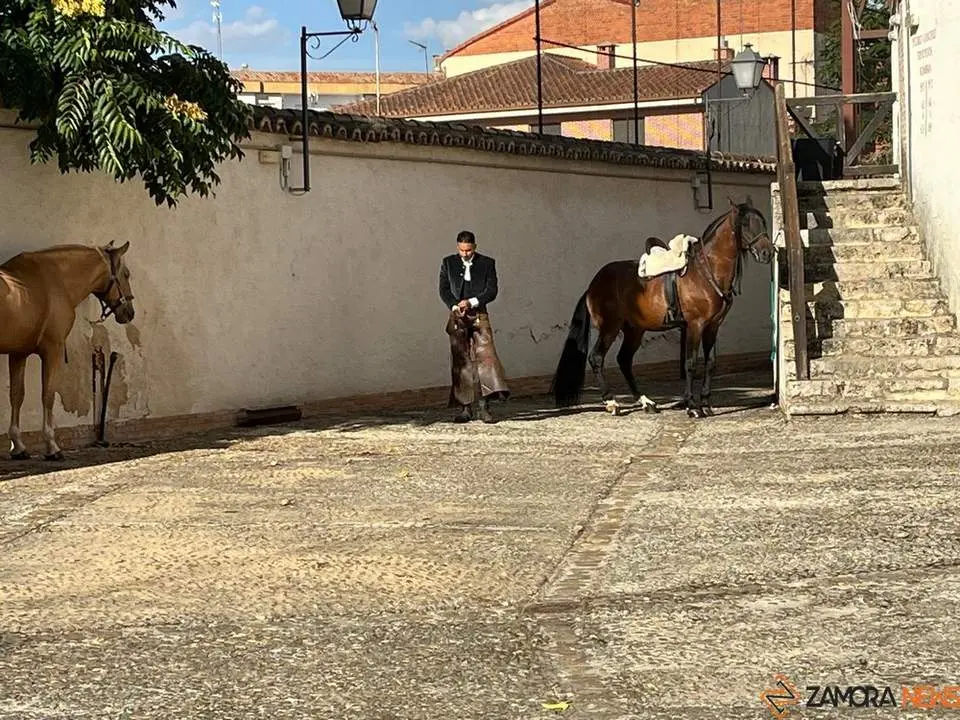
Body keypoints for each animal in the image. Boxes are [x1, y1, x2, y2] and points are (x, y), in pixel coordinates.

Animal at [0, 241, 136, 460]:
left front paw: (18, 447)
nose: (129, 313)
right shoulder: (52, 350)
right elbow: (48, 395)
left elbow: (16, 395)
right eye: (126, 274)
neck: (53, 281)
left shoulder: (18, 353)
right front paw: (52, 447)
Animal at [550, 198, 775, 418]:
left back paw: (646, 402)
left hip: (634, 330)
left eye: (764, 222)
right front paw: (692, 407)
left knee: (624, 360)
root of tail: (593, 285)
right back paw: (612, 403)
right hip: (610, 328)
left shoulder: (713, 326)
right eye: (744, 224)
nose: (767, 252)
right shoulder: (695, 325)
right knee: (597, 358)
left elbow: (710, 363)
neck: (705, 272)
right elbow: (691, 363)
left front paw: (706, 404)